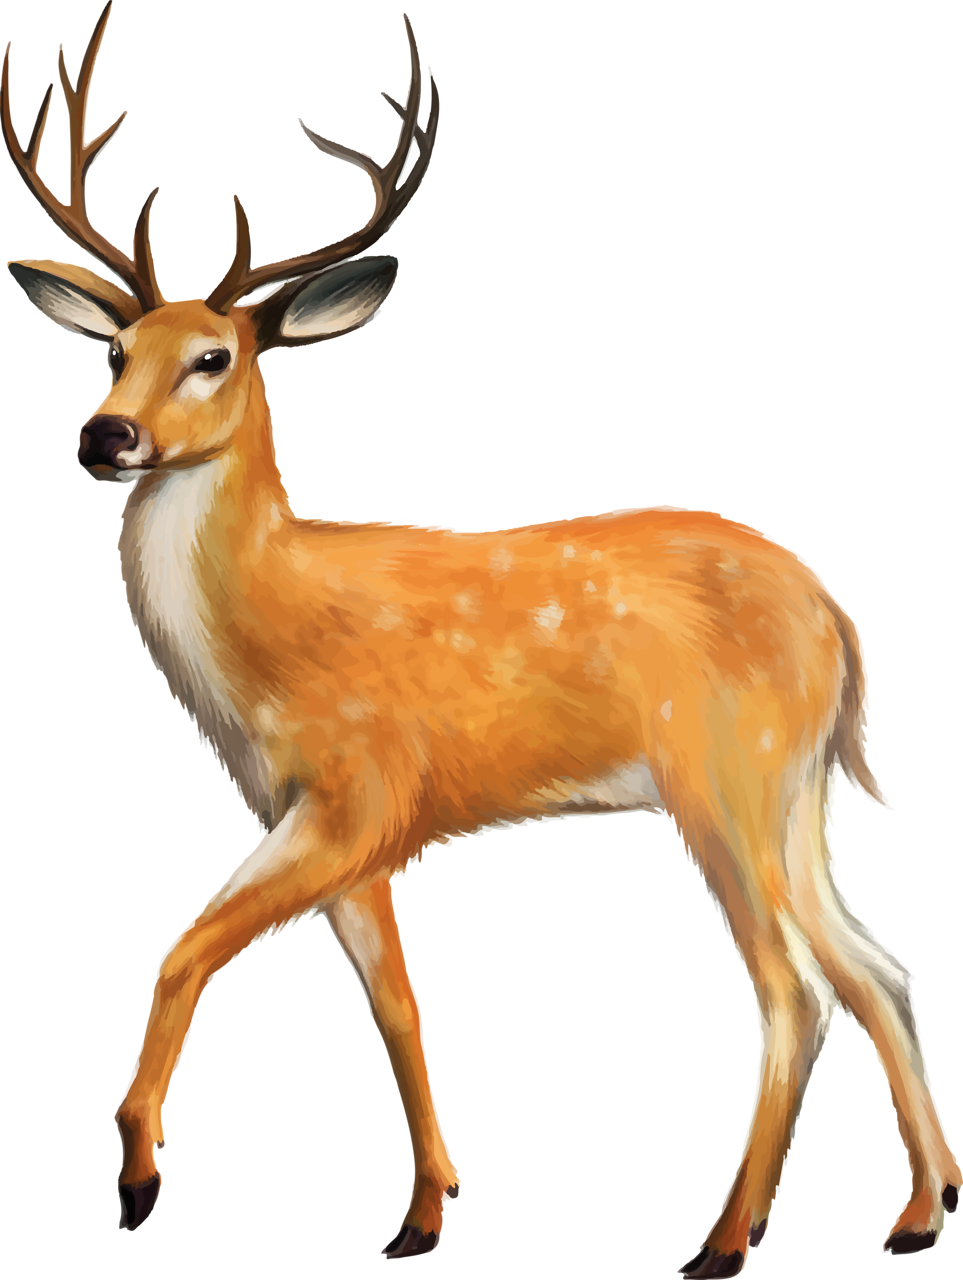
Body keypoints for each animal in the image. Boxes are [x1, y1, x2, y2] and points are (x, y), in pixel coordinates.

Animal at [3, 3, 959, 1273]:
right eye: (115, 354)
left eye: (213, 357)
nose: (102, 436)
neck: (263, 635)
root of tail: (843, 629)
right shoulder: (317, 815)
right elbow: (397, 999)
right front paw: (421, 1211)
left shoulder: (365, 790)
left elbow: (184, 946)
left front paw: (141, 1175)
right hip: (799, 789)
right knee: (878, 966)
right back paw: (921, 1209)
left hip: (724, 774)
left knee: (793, 985)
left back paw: (724, 1237)